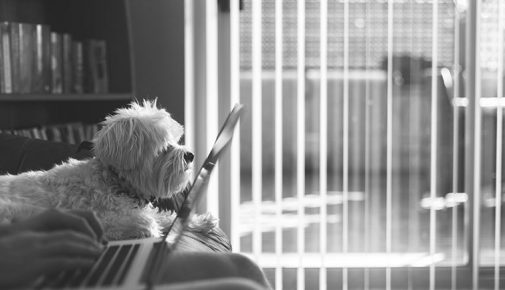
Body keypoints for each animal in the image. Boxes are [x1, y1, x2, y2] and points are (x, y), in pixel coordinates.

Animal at [0, 99, 215, 240]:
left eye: (175, 140)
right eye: (163, 147)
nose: (190, 155)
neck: (113, 181)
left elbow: (166, 216)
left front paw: (200, 221)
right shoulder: (103, 218)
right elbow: (145, 222)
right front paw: (149, 230)